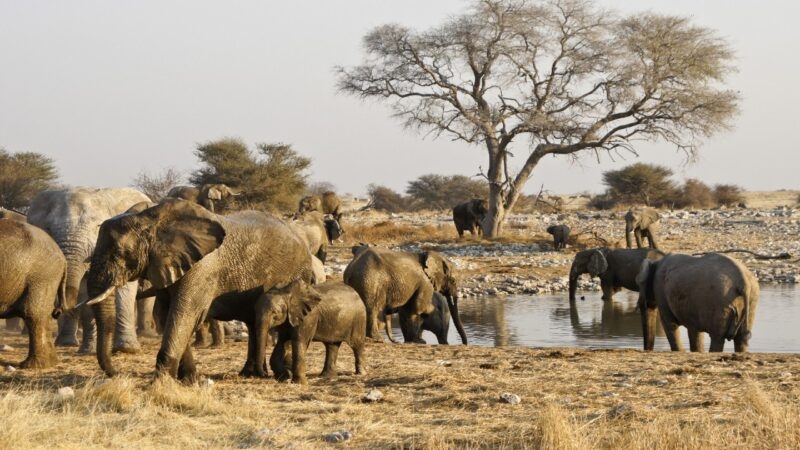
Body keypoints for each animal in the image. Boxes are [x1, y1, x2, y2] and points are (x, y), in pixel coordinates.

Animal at [27, 187, 152, 354]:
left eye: (97, 228)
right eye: (49, 229)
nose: (56, 311)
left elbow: (124, 290)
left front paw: (127, 349)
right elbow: (84, 293)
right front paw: (87, 350)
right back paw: (69, 344)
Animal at [83, 199, 313, 381]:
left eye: (119, 253)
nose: (116, 373)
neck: (152, 219)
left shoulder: (202, 268)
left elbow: (184, 312)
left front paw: (163, 382)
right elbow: (168, 314)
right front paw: (189, 379)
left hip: (295, 273)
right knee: (253, 320)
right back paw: (251, 374)